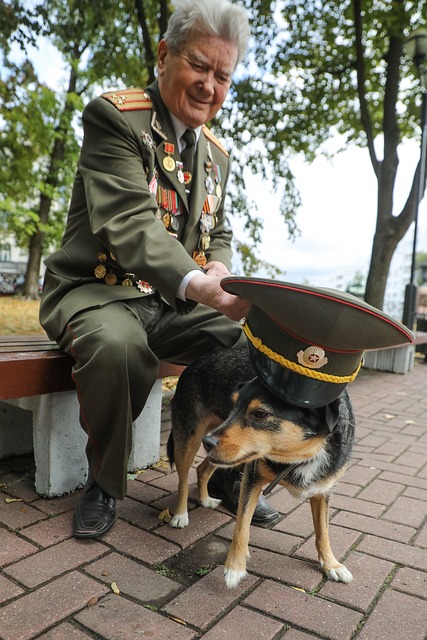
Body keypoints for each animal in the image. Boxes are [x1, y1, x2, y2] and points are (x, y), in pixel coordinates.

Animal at [166, 350, 354, 592]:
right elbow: (241, 526)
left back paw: (206, 499)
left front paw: (331, 565)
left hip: (225, 456)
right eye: (233, 406)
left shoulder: (322, 490)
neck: (299, 456)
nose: (208, 442)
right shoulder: (251, 479)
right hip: (189, 439)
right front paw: (234, 568)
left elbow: (323, 531)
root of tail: (196, 361)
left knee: (202, 469)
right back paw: (180, 515)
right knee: (182, 478)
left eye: (260, 414)